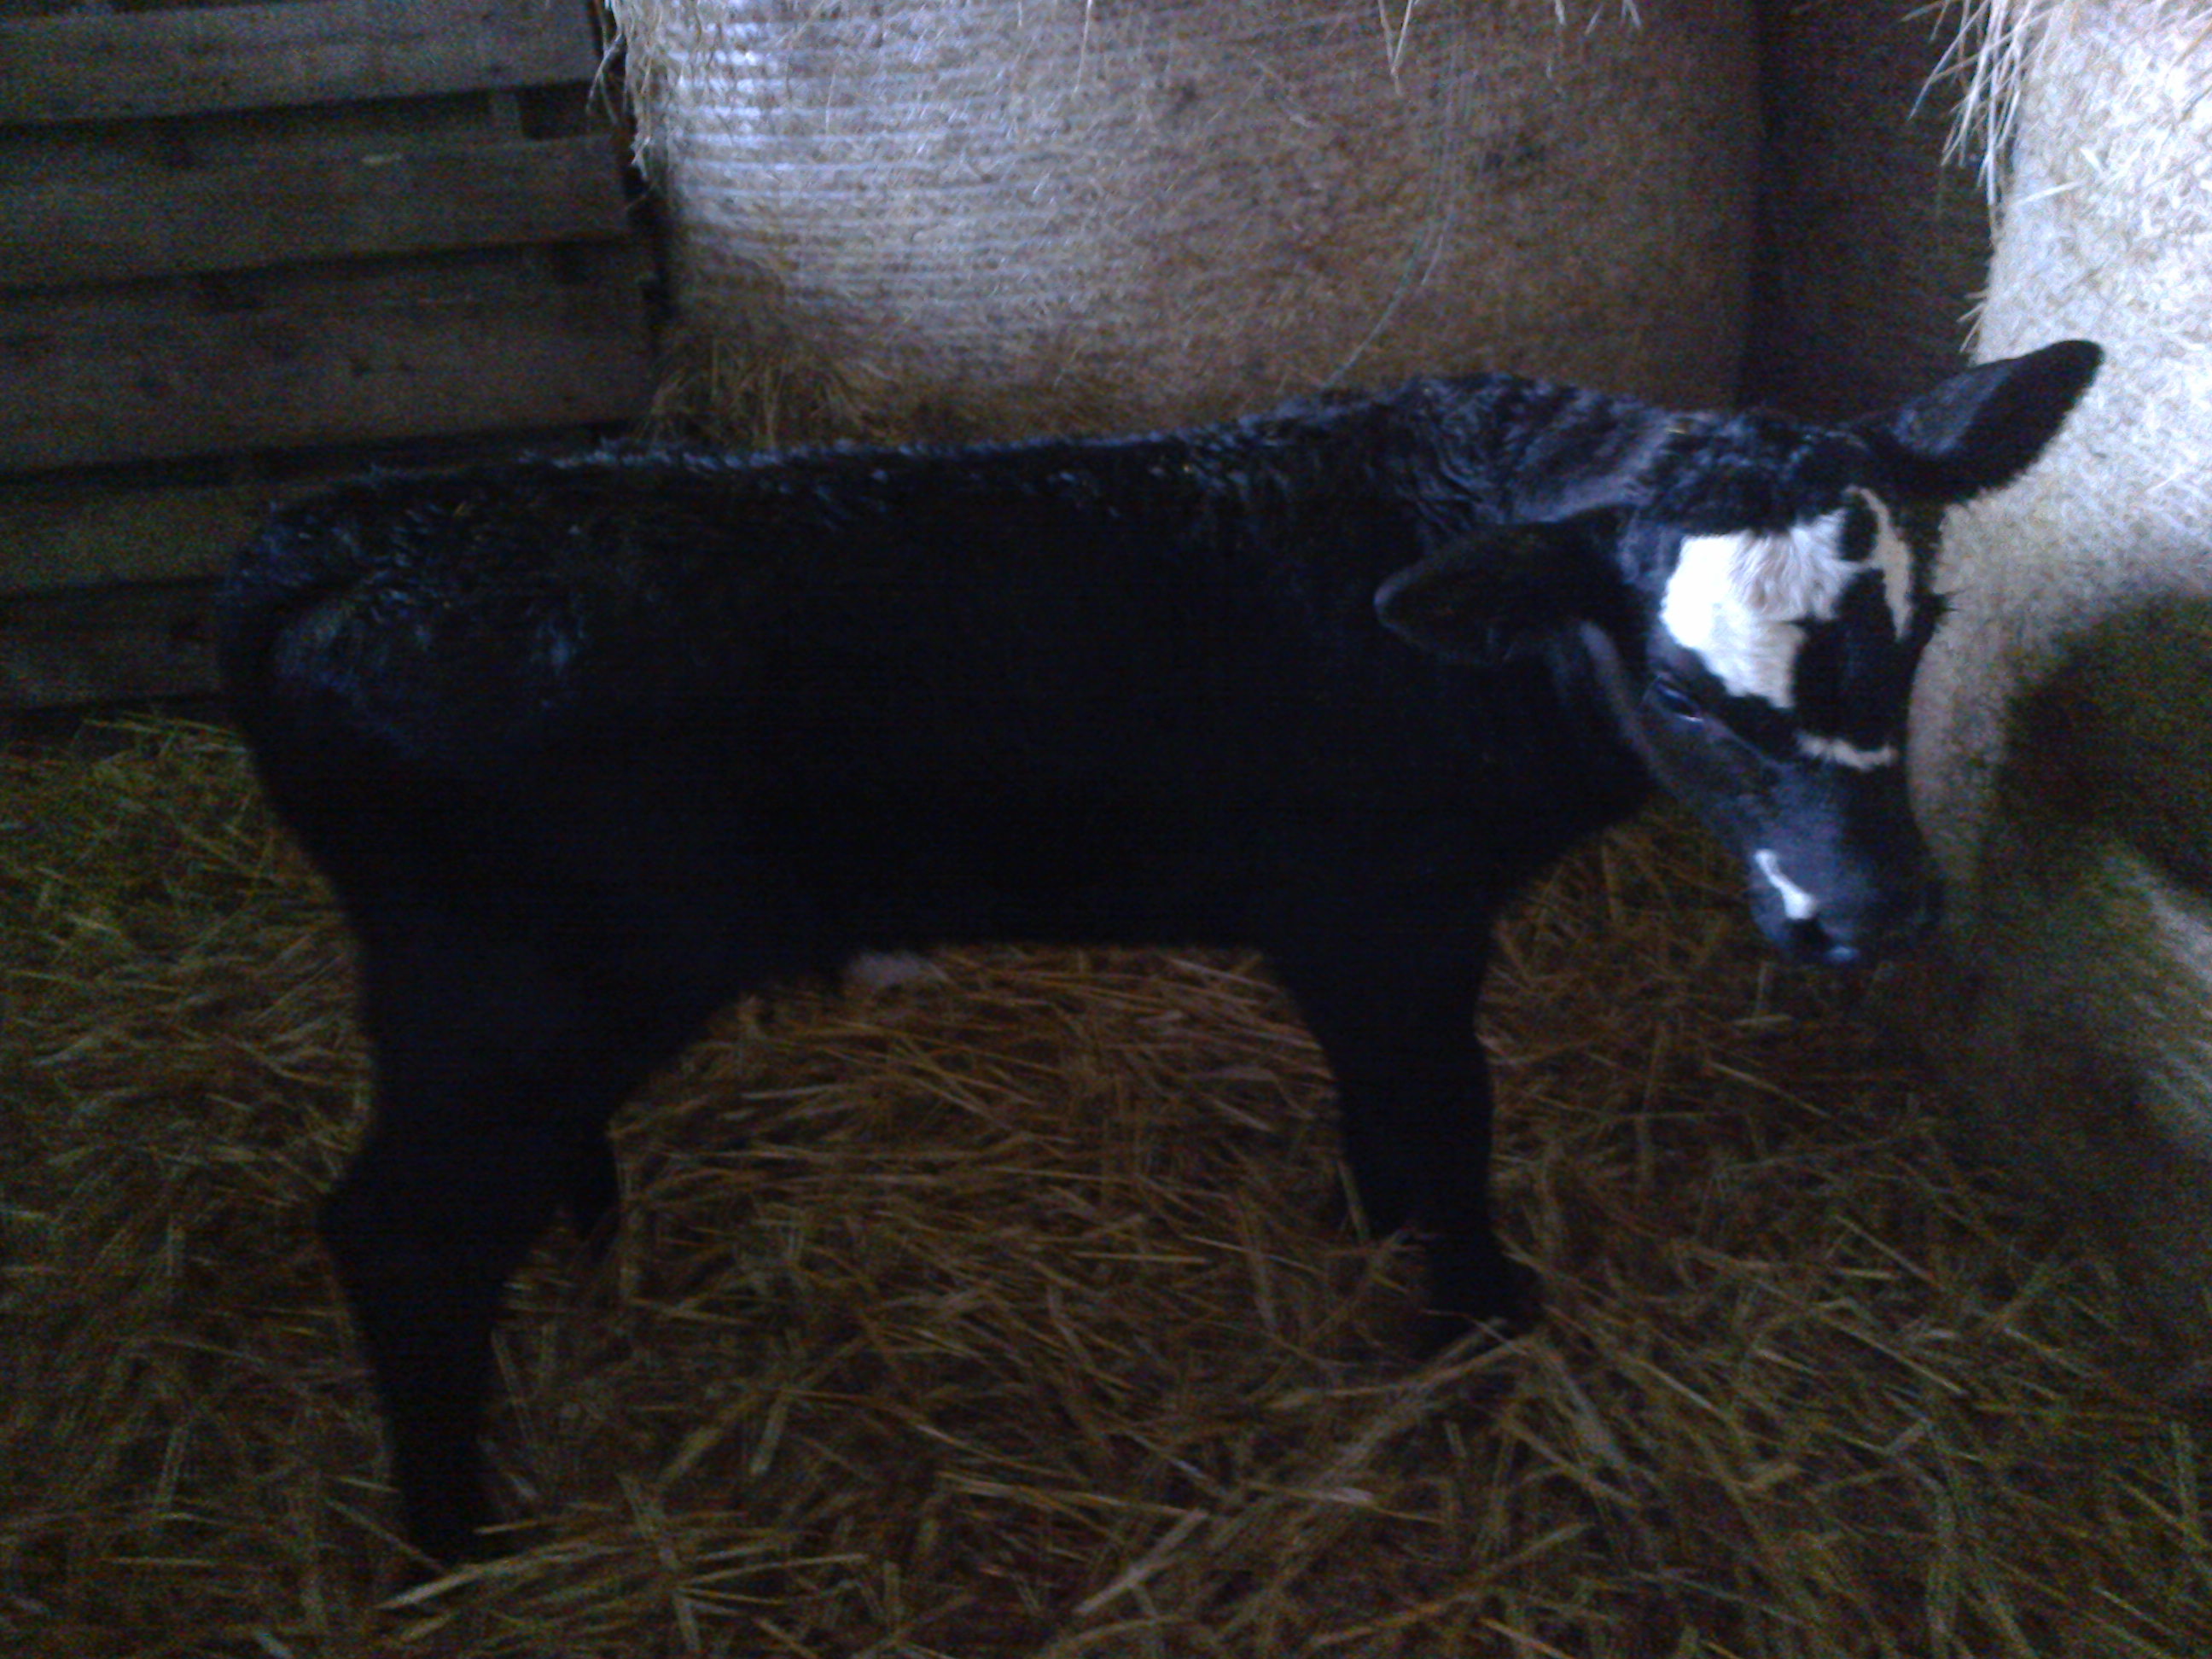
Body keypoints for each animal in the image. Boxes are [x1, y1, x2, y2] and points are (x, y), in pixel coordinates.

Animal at [215, 339, 2101, 1561]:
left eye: (1921, 628)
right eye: (1684, 692)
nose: (1872, 913)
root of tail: (348, 527)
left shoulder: (1345, 934)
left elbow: (1385, 1116)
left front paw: (1379, 1237)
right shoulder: (1393, 917)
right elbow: (1448, 1122)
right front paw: (1481, 1319)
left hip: (494, 993)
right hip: (523, 985)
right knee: (397, 1232)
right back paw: (456, 1538)